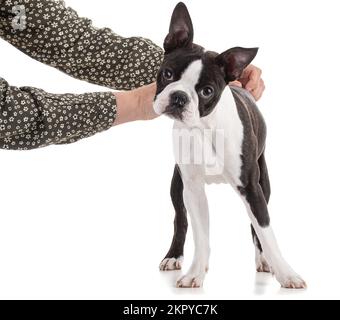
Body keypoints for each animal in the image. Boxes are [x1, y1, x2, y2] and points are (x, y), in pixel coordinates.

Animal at [153, 1, 306, 288]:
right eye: (167, 74)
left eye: (207, 91)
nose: (179, 97)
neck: (204, 127)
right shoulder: (192, 189)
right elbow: (201, 234)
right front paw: (195, 273)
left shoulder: (252, 188)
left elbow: (266, 232)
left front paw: (287, 273)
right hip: (177, 184)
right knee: (181, 219)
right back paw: (174, 256)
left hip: (263, 181)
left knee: (255, 228)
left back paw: (264, 261)